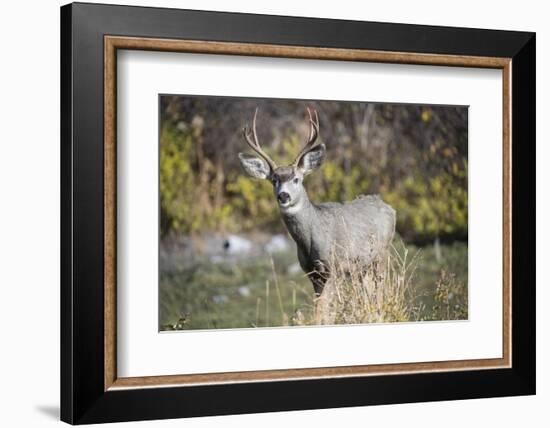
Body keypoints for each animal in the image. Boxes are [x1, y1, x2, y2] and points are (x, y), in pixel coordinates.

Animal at [239, 107, 394, 296]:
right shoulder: (312, 273)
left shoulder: (334, 266)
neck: (311, 239)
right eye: (274, 180)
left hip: (381, 254)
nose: (283, 196)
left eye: (297, 179)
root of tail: (389, 207)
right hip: (363, 266)